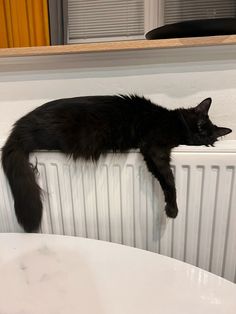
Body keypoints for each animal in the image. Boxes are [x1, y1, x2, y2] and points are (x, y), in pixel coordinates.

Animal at [0, 94, 231, 232]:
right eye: (199, 125)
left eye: (207, 137)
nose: (199, 137)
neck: (173, 121)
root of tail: (19, 127)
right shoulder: (154, 147)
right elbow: (169, 180)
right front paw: (172, 210)